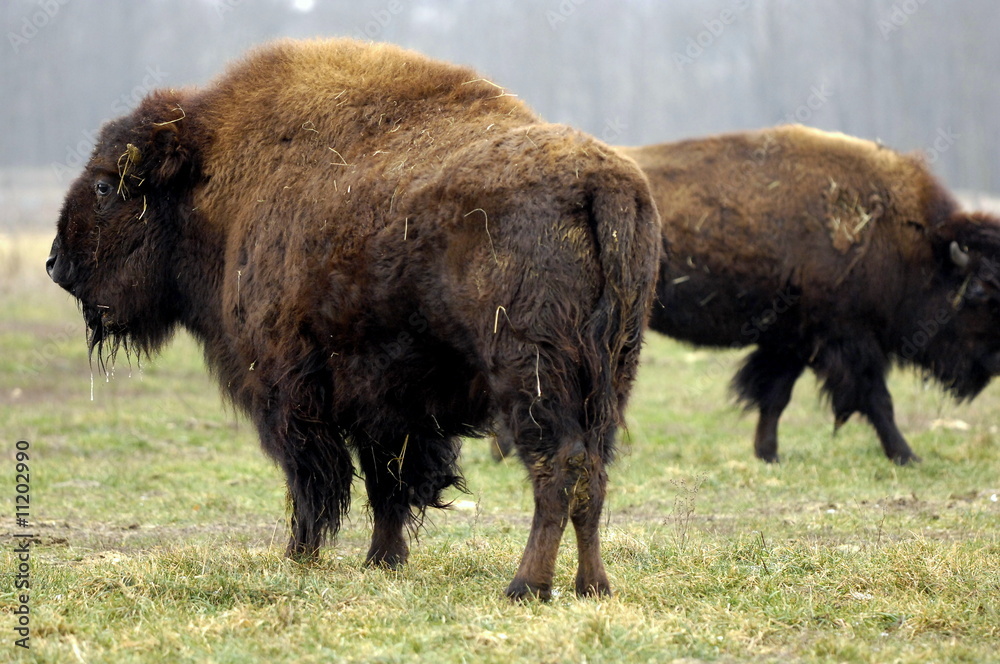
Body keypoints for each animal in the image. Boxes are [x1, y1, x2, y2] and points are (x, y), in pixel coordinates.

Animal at [47, 39, 660, 600]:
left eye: (105, 185)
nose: (56, 263)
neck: (213, 178)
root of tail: (604, 183)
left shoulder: (290, 391)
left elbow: (314, 480)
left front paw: (300, 554)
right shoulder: (386, 403)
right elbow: (387, 484)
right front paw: (382, 560)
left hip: (530, 374)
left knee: (559, 469)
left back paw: (526, 585)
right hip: (612, 376)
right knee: (592, 474)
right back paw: (592, 586)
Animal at [624, 126, 1000, 466]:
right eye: (977, 290)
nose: (994, 361)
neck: (906, 240)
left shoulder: (791, 342)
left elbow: (775, 397)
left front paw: (768, 454)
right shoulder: (849, 340)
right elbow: (877, 400)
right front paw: (907, 456)